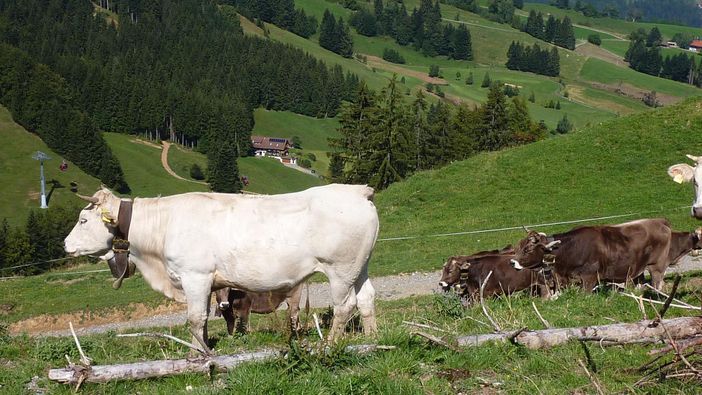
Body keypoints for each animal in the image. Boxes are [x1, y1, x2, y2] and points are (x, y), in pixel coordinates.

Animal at [64, 184, 382, 354]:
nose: (65, 244)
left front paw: (199, 354)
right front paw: (199, 350)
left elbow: (194, 319)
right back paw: (372, 339)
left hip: (340, 269)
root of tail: (356, 191)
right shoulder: (206, 283)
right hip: (360, 266)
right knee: (366, 298)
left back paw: (329, 345)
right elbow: (203, 319)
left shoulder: (195, 276)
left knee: (345, 305)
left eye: (82, 220)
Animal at [516, 220, 672, 290]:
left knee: (658, 283)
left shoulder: (589, 278)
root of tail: (659, 221)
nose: (512, 261)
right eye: (520, 246)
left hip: (656, 266)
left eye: (528, 249)